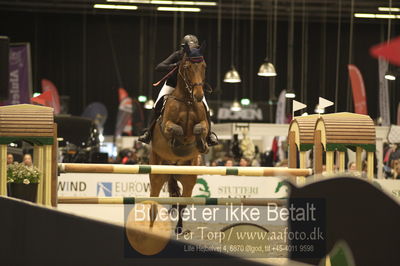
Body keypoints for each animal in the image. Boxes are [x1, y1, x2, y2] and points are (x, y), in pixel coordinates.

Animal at [148, 42, 208, 234]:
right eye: (187, 67)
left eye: (204, 66)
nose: (198, 95)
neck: (187, 100)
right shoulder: (166, 125)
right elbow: (176, 129)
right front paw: (176, 141)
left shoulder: (203, 123)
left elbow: (199, 128)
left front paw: (201, 143)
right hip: (157, 174)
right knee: (153, 200)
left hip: (189, 177)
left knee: (182, 203)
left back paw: (180, 229)